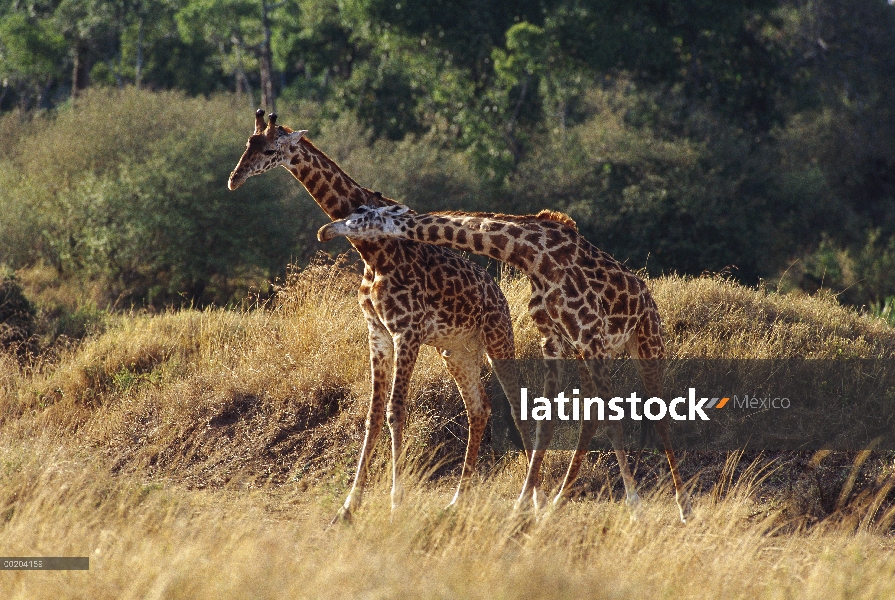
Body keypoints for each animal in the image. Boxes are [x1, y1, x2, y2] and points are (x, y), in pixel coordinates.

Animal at [228, 110, 532, 524]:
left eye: (271, 150)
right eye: (249, 144)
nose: (234, 179)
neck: (372, 253)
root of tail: (500, 296)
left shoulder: (408, 331)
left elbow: (395, 412)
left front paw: (395, 503)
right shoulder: (377, 332)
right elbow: (373, 415)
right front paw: (347, 508)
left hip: (499, 338)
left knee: (518, 406)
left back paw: (528, 501)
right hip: (457, 351)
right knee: (479, 408)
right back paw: (457, 502)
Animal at [318, 204, 696, 524]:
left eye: (362, 217)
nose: (325, 230)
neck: (532, 255)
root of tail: (647, 295)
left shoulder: (588, 331)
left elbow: (610, 419)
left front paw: (636, 509)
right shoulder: (555, 337)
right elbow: (545, 419)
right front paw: (524, 506)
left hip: (644, 340)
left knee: (657, 411)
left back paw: (684, 508)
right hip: (591, 349)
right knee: (591, 413)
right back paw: (558, 501)